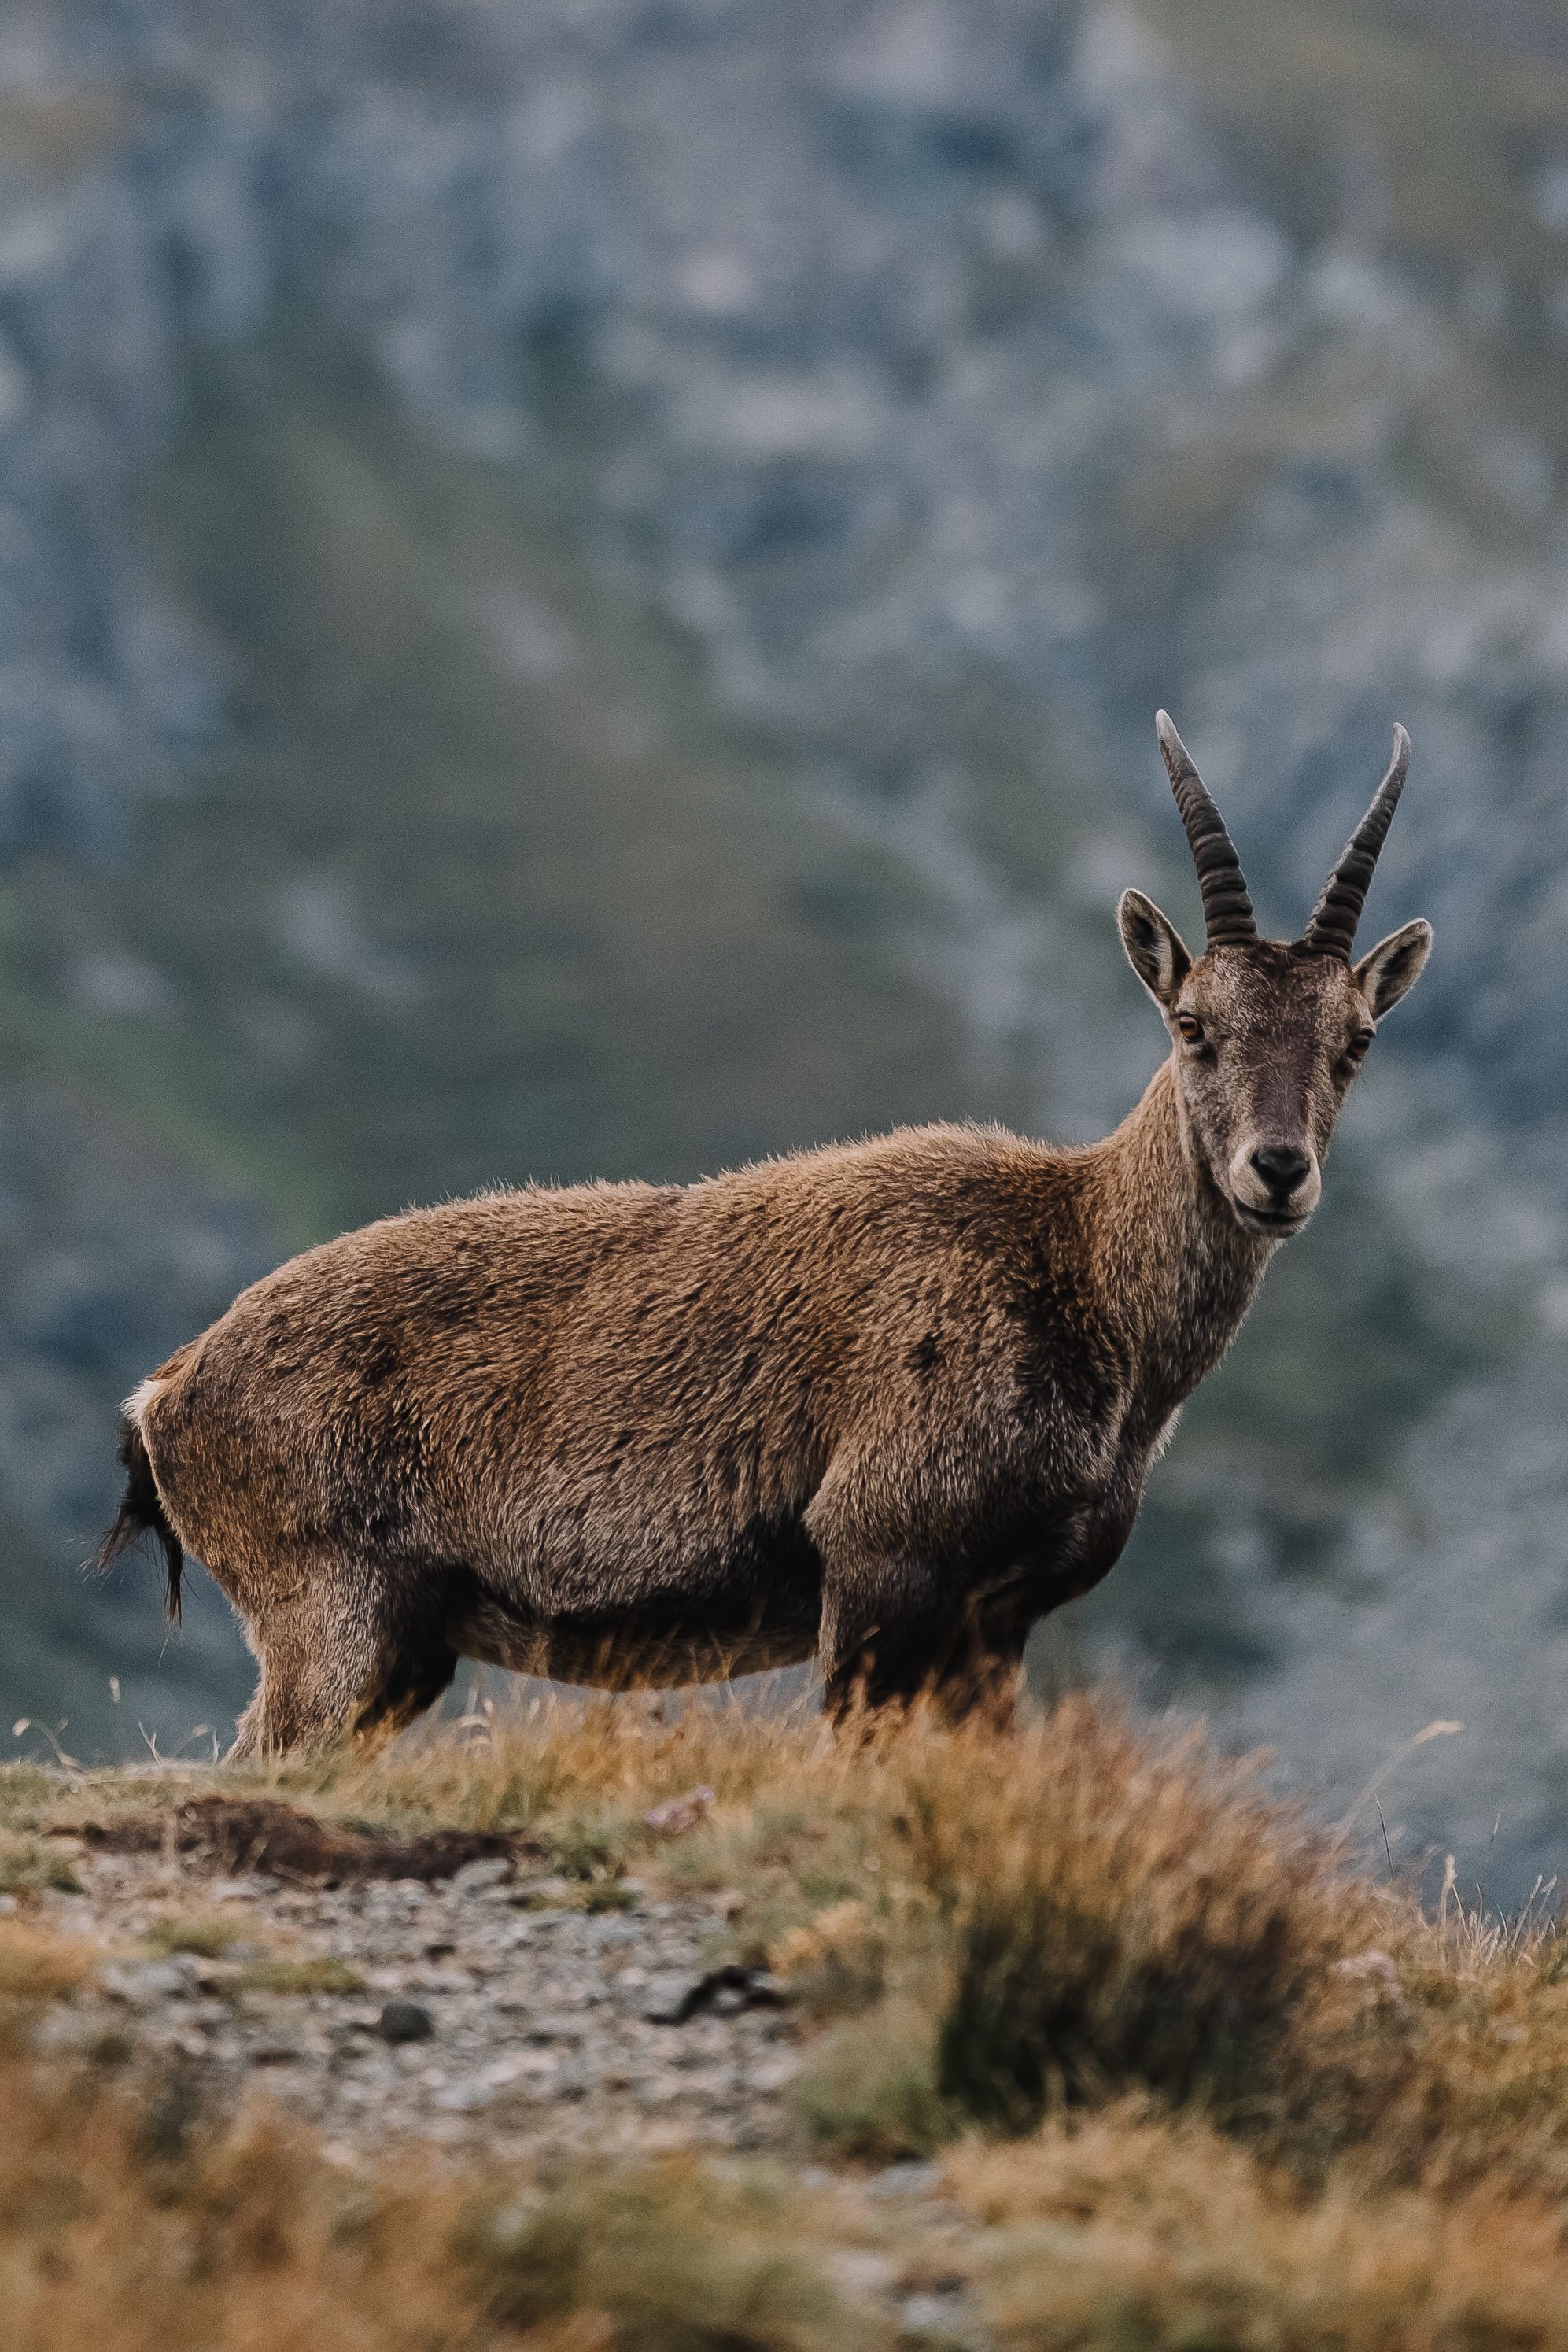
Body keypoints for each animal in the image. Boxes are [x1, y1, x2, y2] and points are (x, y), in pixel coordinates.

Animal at [97, 715, 1432, 1755]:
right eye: (1193, 1025)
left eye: (1354, 1040)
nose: (1277, 1171)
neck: (1082, 1279)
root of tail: (164, 1394)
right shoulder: (880, 1555)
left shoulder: (996, 1620)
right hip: (328, 1611)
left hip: (400, 1649)